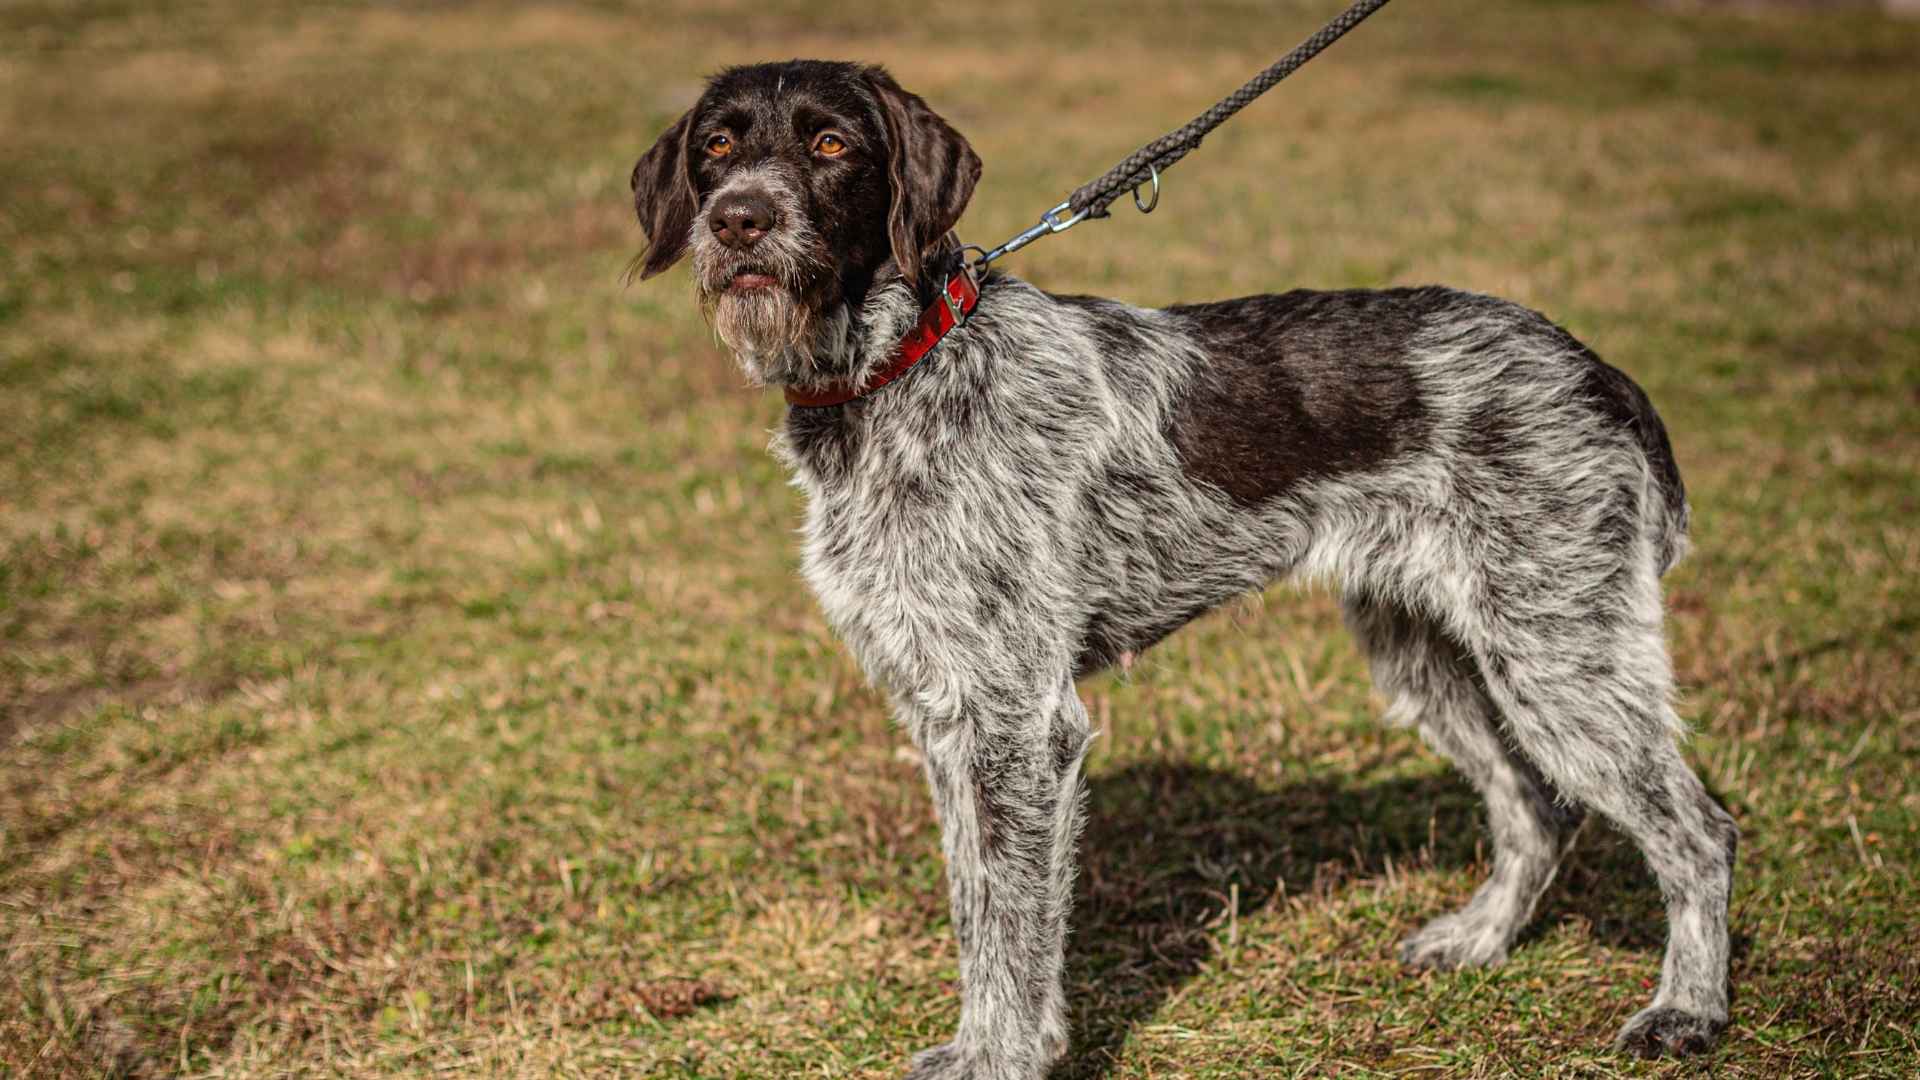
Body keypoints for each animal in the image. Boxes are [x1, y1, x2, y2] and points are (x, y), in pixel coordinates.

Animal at [629, 62, 1743, 1068]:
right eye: (717, 146)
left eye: (829, 145)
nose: (737, 221)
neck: (903, 365)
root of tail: (1592, 368)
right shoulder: (947, 712)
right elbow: (978, 905)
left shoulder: (1015, 720)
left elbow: (1012, 926)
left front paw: (1000, 1057)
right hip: (1431, 653)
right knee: (1535, 808)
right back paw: (1478, 940)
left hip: (1559, 654)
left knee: (1699, 832)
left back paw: (1686, 1011)